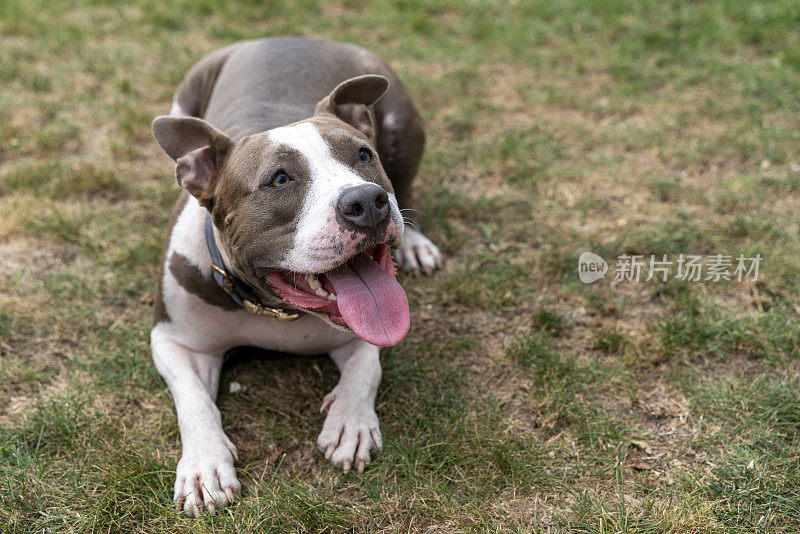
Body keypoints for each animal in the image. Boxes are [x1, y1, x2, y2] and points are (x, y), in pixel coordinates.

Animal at [150, 36, 444, 516]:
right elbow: (193, 400)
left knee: (407, 181)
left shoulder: (371, 328)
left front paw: (350, 422)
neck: (274, 307)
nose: (367, 201)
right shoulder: (175, 341)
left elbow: (367, 367)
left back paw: (416, 243)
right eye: (280, 179)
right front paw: (204, 465)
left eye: (363, 155)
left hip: (402, 123)